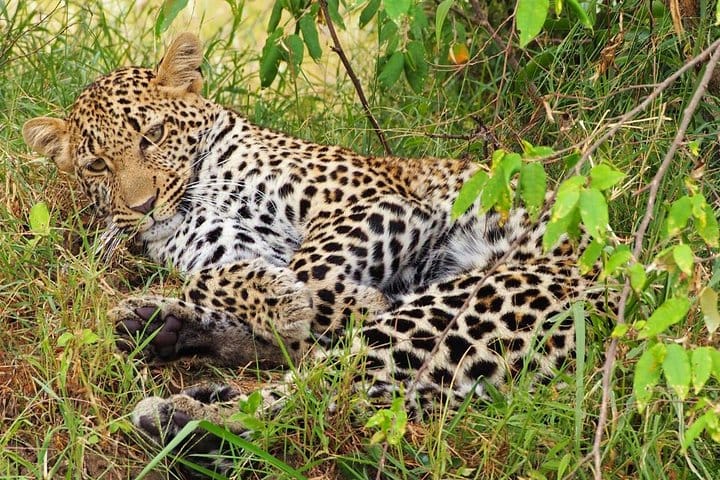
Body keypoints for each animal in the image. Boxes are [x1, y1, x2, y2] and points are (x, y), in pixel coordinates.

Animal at [23, 33, 610, 476]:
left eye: (154, 134)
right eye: (96, 165)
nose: (143, 207)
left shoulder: (377, 202)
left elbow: (308, 269)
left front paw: (336, 301)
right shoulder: (221, 247)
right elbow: (222, 278)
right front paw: (290, 303)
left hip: (462, 312)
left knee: (317, 397)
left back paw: (176, 415)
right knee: (306, 376)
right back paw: (159, 328)